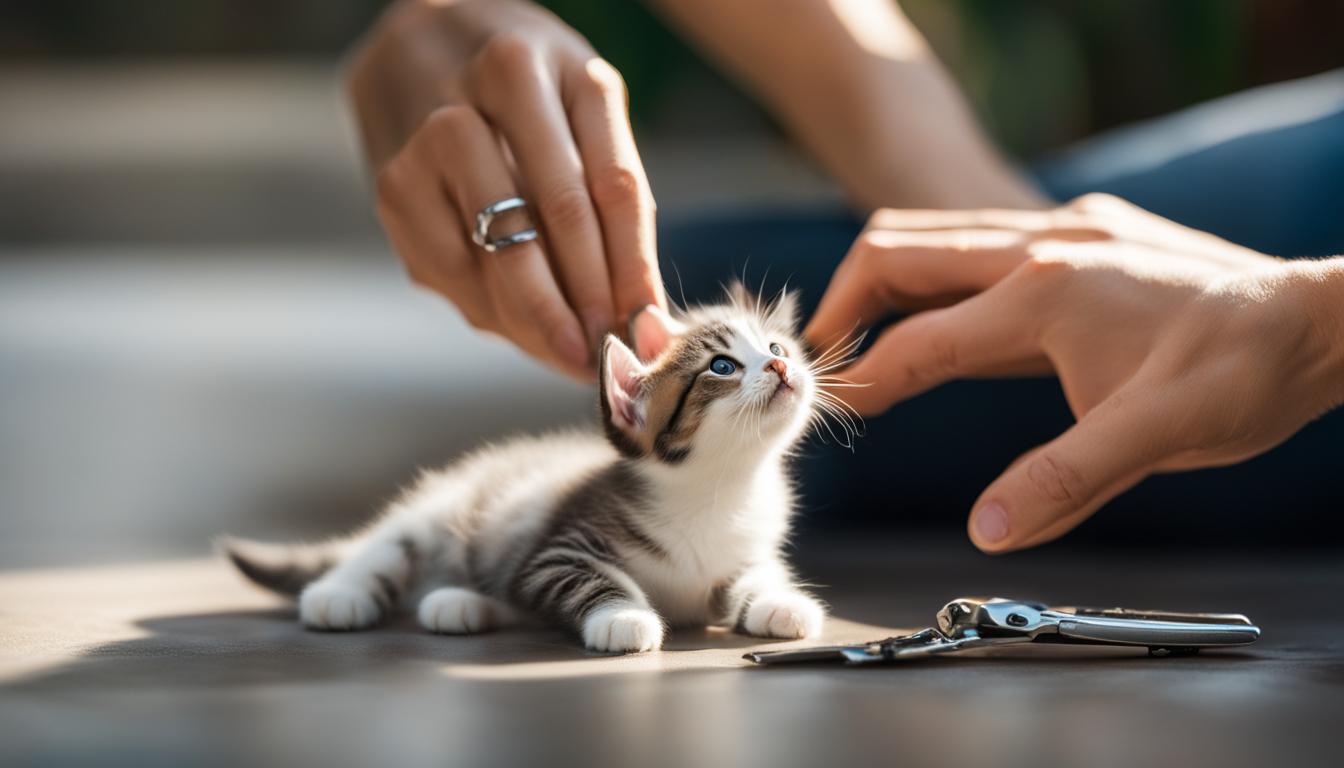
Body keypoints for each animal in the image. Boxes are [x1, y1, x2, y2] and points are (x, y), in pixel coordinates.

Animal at [220, 285, 849, 650]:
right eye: (722, 365)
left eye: (777, 346)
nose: (780, 366)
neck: (722, 488)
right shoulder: (555, 549)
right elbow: (585, 578)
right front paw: (624, 617)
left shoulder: (747, 546)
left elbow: (755, 573)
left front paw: (779, 602)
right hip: (445, 508)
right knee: (384, 545)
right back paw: (339, 595)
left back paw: (461, 604)